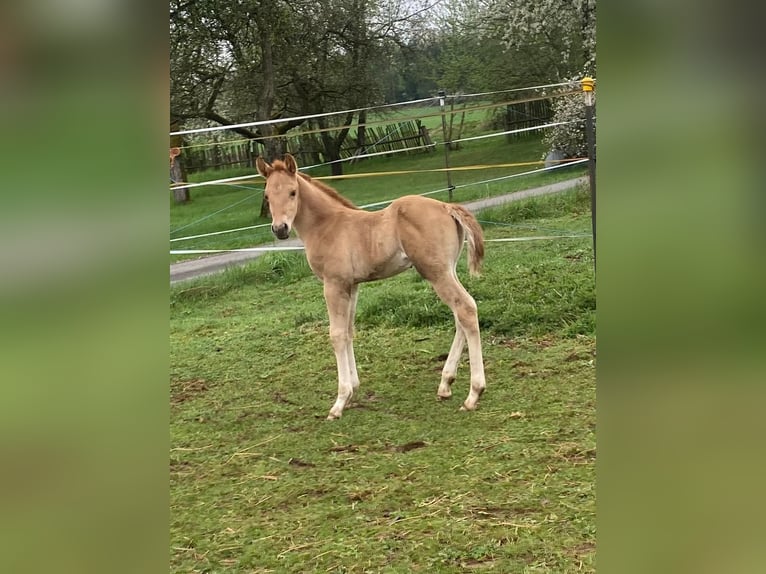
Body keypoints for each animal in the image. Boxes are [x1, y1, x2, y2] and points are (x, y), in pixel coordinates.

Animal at [256, 153, 486, 420]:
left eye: (293, 192)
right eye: (267, 196)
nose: (280, 229)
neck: (328, 225)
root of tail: (446, 206)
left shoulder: (333, 285)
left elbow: (336, 334)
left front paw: (339, 402)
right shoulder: (352, 285)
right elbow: (348, 331)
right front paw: (353, 390)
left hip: (436, 272)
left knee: (465, 309)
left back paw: (473, 394)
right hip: (448, 270)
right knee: (461, 314)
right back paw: (446, 383)